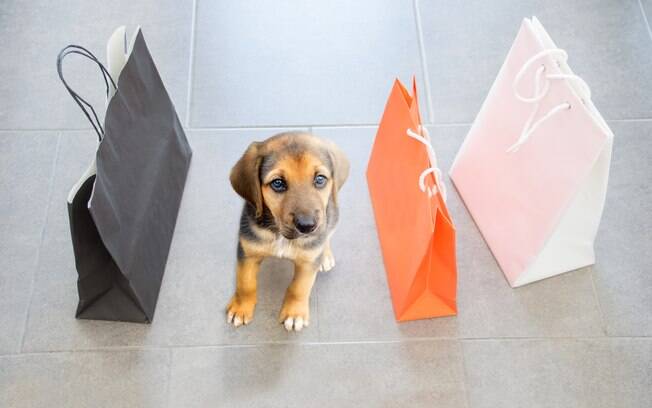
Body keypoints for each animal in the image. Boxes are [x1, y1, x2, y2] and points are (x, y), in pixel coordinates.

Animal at [225, 131, 348, 332]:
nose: (307, 226)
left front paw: (294, 313)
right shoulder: (248, 252)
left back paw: (326, 256)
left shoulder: (308, 262)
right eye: (278, 183)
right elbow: (245, 283)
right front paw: (241, 308)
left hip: (332, 216)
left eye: (320, 179)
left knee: (327, 235)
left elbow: (299, 288)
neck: (280, 235)